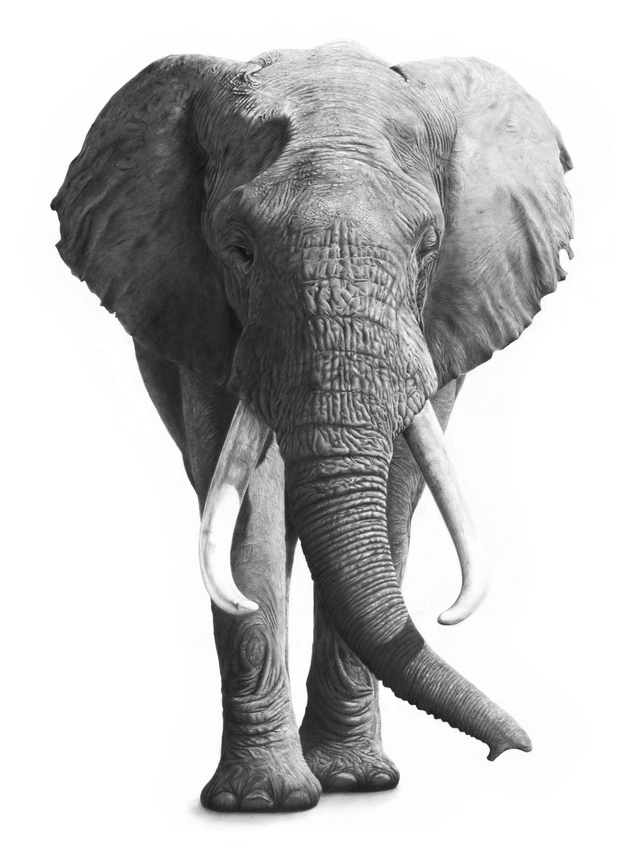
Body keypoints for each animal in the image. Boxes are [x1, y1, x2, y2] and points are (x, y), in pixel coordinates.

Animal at [52, 41, 573, 813]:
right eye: (238, 249)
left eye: (428, 247)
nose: (512, 748)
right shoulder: (207, 316)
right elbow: (247, 503)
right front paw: (264, 802)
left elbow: (399, 489)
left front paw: (358, 783)